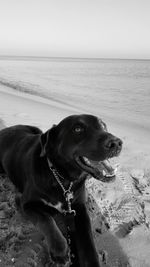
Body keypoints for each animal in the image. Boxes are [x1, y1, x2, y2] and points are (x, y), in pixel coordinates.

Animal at [0, 114, 122, 266]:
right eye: (77, 129)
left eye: (104, 126)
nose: (117, 143)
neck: (62, 178)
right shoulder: (26, 203)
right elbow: (46, 219)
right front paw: (59, 249)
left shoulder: (79, 207)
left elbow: (88, 240)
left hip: (37, 131)